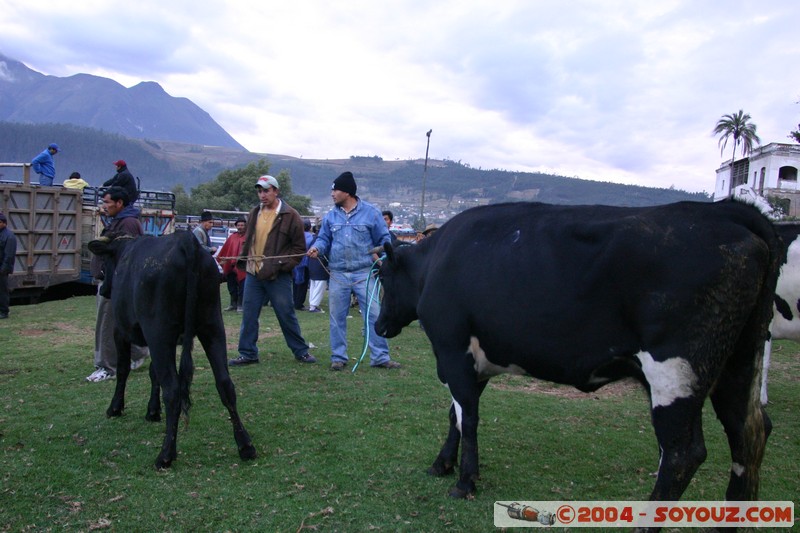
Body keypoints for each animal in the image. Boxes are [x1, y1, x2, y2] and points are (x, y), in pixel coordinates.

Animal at [89, 231, 256, 468]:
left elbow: (123, 370)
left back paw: (166, 454)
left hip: (159, 331)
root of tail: (186, 240)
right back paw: (245, 445)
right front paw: (152, 411)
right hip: (212, 325)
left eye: (104, 262)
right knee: (225, 384)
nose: (103, 289)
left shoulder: (121, 330)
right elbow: (153, 373)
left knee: (173, 390)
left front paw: (116, 407)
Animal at [376, 198, 780, 502]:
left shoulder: (451, 350)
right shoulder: (479, 361)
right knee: (751, 435)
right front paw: (442, 465)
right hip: (739, 363)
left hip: (676, 372)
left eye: (382, 277)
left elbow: (468, 417)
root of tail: (726, 211)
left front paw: (464, 481)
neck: (434, 264)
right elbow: (455, 415)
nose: (379, 326)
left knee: (682, 454)